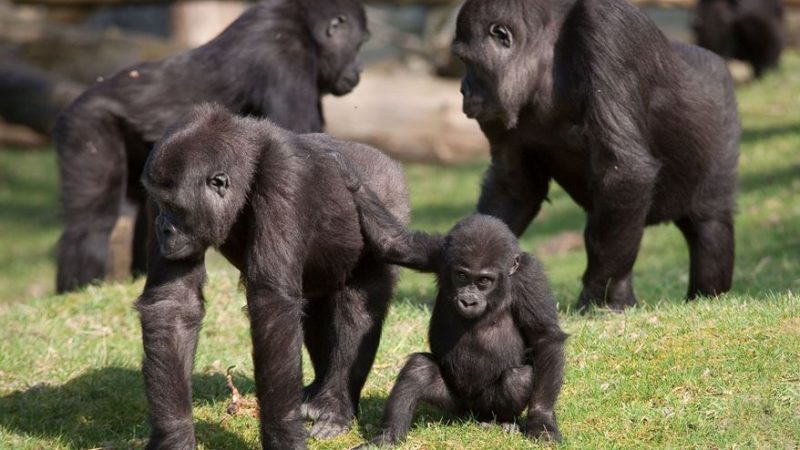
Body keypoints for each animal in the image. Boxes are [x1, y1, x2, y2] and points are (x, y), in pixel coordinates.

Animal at [54, 0, 368, 294]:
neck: (302, 23)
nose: (358, 70)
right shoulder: (287, 53)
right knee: (91, 222)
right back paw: (77, 288)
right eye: (358, 45)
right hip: (87, 122)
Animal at [138, 103, 410, 448]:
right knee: (316, 306)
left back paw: (333, 406)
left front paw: (282, 432)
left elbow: (272, 306)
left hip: (388, 203)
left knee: (357, 309)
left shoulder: (284, 179)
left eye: (174, 207)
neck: (247, 173)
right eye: (160, 203)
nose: (163, 228)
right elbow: (173, 303)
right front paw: (174, 435)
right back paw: (315, 392)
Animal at [326, 159, 568, 446]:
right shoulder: (440, 251)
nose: (468, 300)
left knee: (518, 378)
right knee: (418, 370)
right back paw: (389, 436)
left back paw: (503, 421)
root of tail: (471, 414)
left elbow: (545, 338)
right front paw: (350, 178)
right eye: (461, 276)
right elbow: (394, 242)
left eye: (484, 281)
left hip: (483, 406)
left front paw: (542, 420)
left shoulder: (530, 277)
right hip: (454, 403)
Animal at [454, 0, 740, 312]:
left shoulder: (607, 32)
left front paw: (598, 294)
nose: (463, 90)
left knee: (710, 223)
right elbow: (513, 187)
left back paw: (705, 294)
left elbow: (624, 170)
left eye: (467, 61)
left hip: (722, 110)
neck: (547, 55)